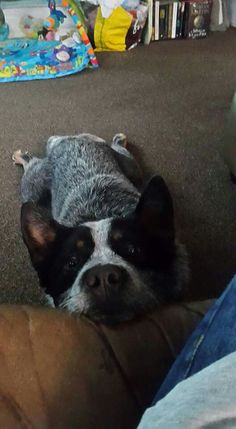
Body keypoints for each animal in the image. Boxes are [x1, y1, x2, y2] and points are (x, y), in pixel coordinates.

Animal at [12, 132, 188, 322]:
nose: (103, 276)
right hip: (33, 190)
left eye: (133, 250)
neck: (99, 215)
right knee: (31, 166)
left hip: (131, 167)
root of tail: (69, 139)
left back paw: (119, 140)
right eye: (72, 262)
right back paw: (23, 157)